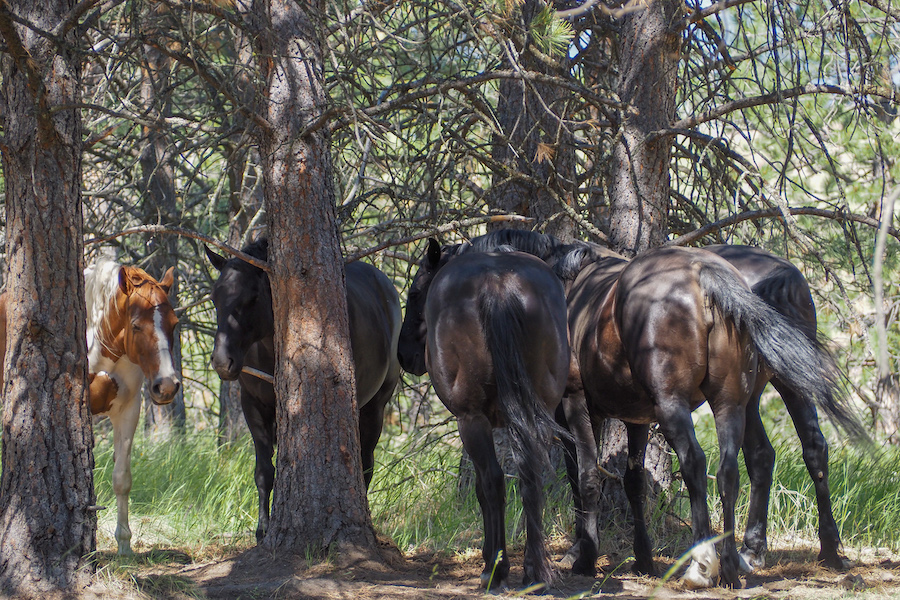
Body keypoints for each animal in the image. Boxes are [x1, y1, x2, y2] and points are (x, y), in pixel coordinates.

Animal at [0, 258, 180, 555]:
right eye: (136, 325)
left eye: (174, 324)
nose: (166, 386)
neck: (100, 342)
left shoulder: (127, 410)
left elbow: (121, 479)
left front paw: (124, 547)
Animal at [204, 238, 402, 543]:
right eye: (215, 298)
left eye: (251, 298)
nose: (222, 361)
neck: (269, 350)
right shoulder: (253, 405)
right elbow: (264, 471)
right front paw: (263, 529)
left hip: (376, 405)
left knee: (366, 463)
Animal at [397, 239, 570, 591]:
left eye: (415, 292)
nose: (403, 354)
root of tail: (498, 283)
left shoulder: (475, 421)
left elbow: (482, 487)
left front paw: (493, 561)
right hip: (539, 410)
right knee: (530, 477)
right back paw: (533, 570)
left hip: (471, 419)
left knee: (493, 481)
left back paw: (494, 569)